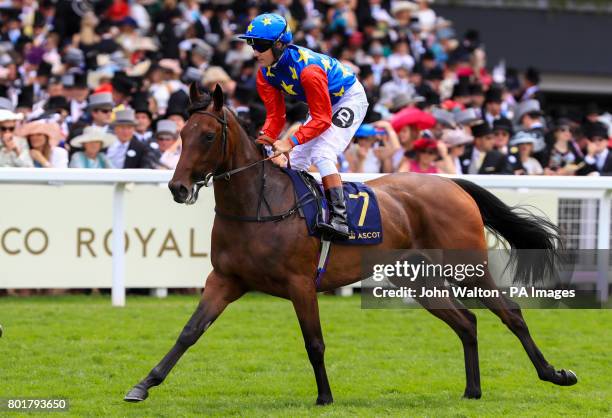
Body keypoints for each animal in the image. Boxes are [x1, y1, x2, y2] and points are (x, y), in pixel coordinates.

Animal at [122, 84, 576, 404]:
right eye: (182, 134)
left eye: (207, 136)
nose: (178, 188)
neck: (259, 204)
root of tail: (451, 183)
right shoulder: (225, 279)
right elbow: (189, 332)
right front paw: (143, 384)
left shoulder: (300, 284)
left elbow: (314, 342)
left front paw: (325, 396)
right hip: (417, 278)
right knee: (467, 322)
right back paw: (472, 390)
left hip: (467, 268)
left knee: (510, 312)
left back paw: (554, 373)